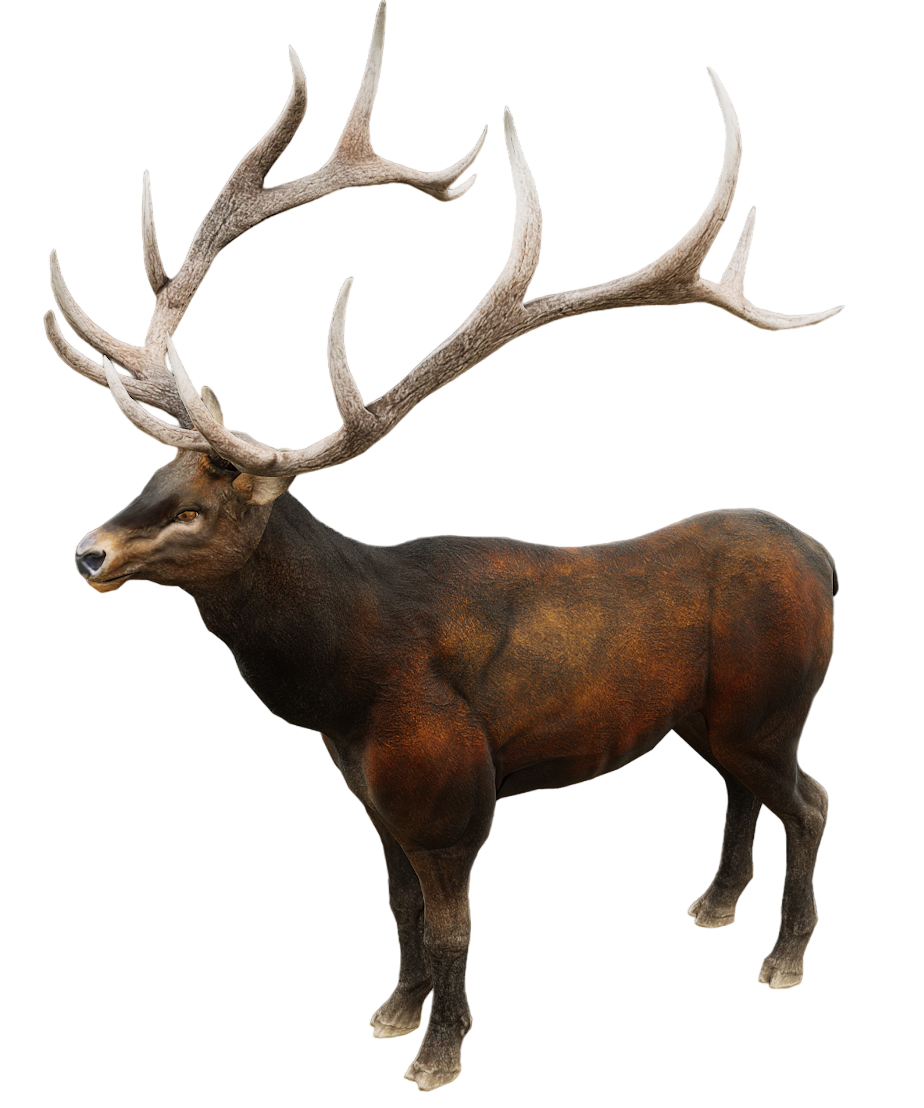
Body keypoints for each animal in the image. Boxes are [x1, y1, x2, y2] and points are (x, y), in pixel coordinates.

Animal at [50, 3, 840, 1093]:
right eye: (153, 478)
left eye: (203, 508)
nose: (89, 553)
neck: (344, 682)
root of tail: (827, 561)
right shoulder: (374, 800)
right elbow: (397, 911)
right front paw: (393, 1012)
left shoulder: (455, 793)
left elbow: (452, 925)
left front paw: (439, 1053)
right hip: (719, 720)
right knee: (741, 790)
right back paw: (715, 906)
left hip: (776, 706)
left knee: (812, 799)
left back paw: (783, 955)